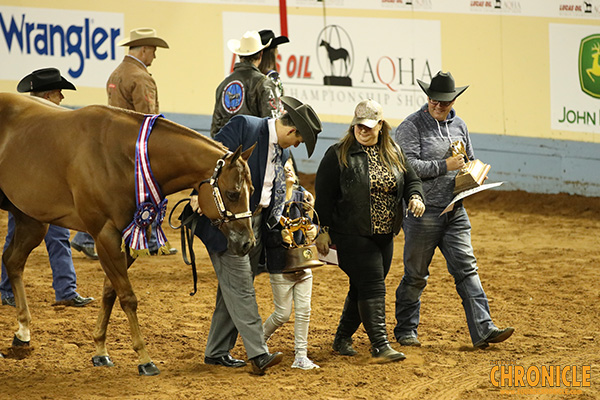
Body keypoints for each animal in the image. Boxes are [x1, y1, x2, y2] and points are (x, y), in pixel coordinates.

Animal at [0, 93, 255, 376]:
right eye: (233, 193)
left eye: (252, 190)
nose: (247, 243)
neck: (123, 157)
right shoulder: (105, 236)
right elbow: (128, 297)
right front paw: (144, 358)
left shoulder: (129, 236)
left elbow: (110, 292)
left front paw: (100, 351)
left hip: (31, 219)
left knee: (12, 261)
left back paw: (23, 334)